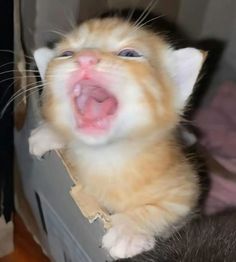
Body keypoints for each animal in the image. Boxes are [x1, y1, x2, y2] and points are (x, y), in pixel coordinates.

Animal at [29, 15, 206, 258]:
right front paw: (50, 132)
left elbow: (166, 209)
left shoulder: (186, 189)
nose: (86, 58)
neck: (108, 157)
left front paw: (128, 230)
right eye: (66, 53)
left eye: (129, 54)